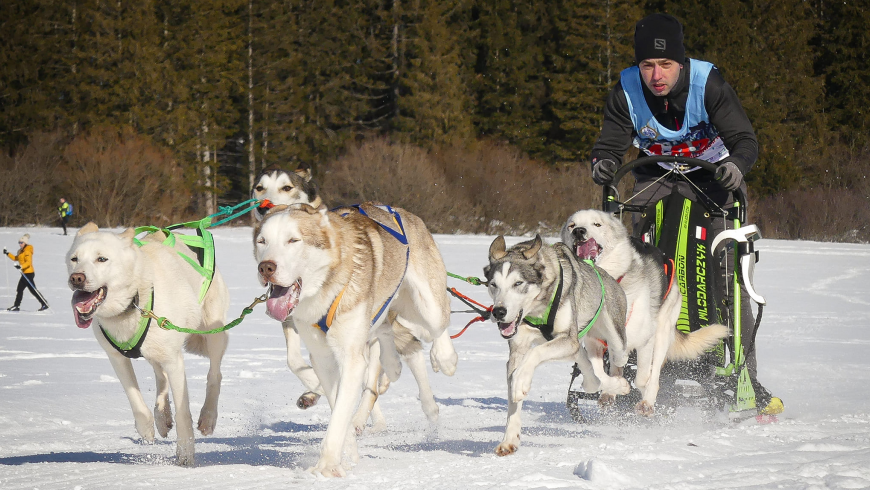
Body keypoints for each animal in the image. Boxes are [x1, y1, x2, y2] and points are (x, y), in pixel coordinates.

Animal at [66, 223, 230, 468]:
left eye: (102, 259)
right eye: (74, 259)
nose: (76, 278)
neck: (134, 301)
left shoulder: (174, 360)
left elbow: (184, 413)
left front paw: (185, 453)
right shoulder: (117, 358)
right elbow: (135, 399)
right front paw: (146, 428)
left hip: (213, 332)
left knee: (214, 375)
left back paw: (207, 417)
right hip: (155, 348)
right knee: (160, 376)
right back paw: (162, 416)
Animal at [249, 163, 450, 430]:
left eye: (287, 187)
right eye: (259, 188)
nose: (264, 206)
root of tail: (397, 210)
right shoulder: (299, 327)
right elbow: (296, 362)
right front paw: (313, 387)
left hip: (425, 304)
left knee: (433, 328)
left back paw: (441, 365)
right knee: (392, 343)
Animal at [252, 205, 456, 476]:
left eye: (293, 240)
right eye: (262, 241)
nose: (266, 267)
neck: (324, 290)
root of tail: (398, 210)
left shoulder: (351, 359)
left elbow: (339, 416)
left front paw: (326, 467)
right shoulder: (323, 358)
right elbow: (336, 404)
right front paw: (348, 453)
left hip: (424, 304)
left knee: (438, 323)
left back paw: (443, 358)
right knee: (386, 332)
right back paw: (393, 363)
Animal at [488, 234, 632, 456]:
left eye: (518, 283)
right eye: (493, 284)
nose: (498, 312)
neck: (537, 310)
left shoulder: (567, 339)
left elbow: (533, 355)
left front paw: (521, 382)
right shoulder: (518, 350)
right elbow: (513, 390)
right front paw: (509, 439)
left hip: (614, 341)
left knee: (616, 363)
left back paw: (615, 388)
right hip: (578, 346)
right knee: (592, 374)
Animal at [564, 209, 732, 416]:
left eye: (597, 224)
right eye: (571, 225)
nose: (578, 231)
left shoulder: (645, 342)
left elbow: (643, 377)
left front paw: (644, 393)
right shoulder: (594, 342)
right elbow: (598, 375)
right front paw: (615, 387)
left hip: (661, 334)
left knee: (654, 369)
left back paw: (647, 400)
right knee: (617, 367)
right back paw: (610, 394)